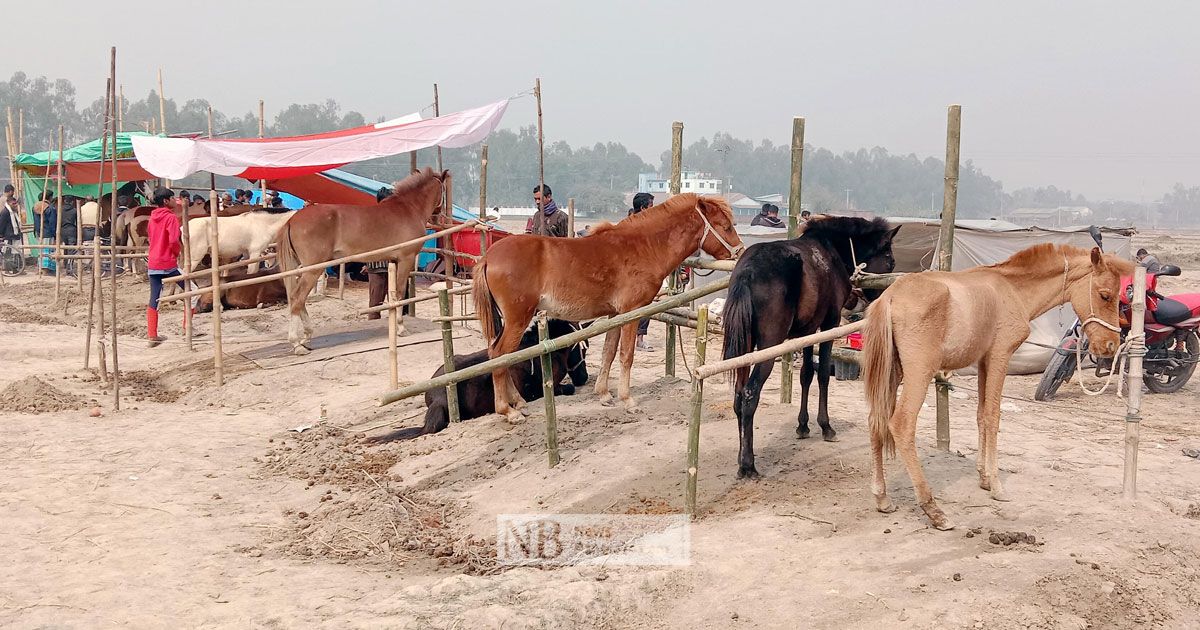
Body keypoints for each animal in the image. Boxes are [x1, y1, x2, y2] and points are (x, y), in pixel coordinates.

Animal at [276, 166, 451, 352]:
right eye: (443, 191)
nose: (437, 217)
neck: (409, 208)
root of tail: (293, 219)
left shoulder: (393, 261)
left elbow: (392, 295)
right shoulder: (406, 259)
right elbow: (399, 293)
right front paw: (401, 328)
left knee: (295, 297)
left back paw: (307, 337)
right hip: (313, 268)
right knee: (297, 297)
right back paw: (297, 343)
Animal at [475, 192, 739, 417]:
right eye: (726, 226)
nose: (739, 252)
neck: (643, 247)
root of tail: (489, 257)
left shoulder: (615, 315)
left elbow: (608, 352)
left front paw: (603, 394)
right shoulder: (632, 312)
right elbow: (626, 355)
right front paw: (627, 399)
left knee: (498, 354)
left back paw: (517, 402)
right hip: (518, 319)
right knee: (500, 356)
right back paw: (507, 410)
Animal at [715, 216, 897, 477]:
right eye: (890, 260)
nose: (879, 301)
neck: (831, 252)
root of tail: (747, 272)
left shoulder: (807, 332)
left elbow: (806, 374)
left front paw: (803, 425)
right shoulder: (829, 324)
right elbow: (822, 375)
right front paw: (826, 426)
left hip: (745, 348)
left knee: (739, 396)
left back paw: (741, 460)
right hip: (767, 348)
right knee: (750, 395)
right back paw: (748, 465)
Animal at [864, 243, 1132, 528]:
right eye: (1105, 295)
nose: (1110, 345)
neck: (1011, 289)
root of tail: (890, 297)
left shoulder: (984, 362)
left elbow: (981, 415)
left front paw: (983, 477)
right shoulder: (1000, 356)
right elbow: (994, 416)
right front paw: (996, 485)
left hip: (892, 372)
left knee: (876, 421)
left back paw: (882, 498)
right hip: (919, 372)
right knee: (901, 424)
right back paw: (933, 509)